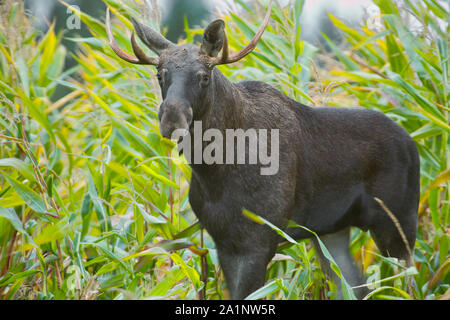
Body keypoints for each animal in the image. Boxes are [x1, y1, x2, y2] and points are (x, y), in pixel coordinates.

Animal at [105, 0, 418, 300]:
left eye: (204, 76)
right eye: (160, 74)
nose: (172, 118)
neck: (215, 172)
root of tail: (412, 143)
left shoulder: (259, 238)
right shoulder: (222, 240)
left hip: (398, 223)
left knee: (406, 282)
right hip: (331, 230)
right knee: (356, 286)